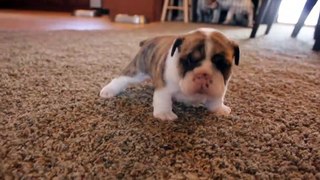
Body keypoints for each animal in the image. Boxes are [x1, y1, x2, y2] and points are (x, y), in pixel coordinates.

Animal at [100, 28, 240, 121]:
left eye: (222, 64)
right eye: (189, 60)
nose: (203, 74)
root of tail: (148, 40)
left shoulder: (220, 88)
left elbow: (216, 99)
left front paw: (219, 109)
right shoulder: (164, 86)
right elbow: (163, 99)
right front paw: (164, 114)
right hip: (138, 70)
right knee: (122, 79)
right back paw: (108, 90)